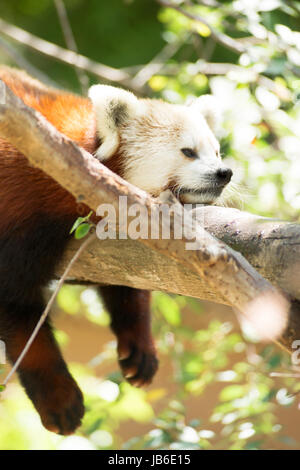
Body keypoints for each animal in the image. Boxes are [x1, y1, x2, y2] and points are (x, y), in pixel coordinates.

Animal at [0, 65, 232, 434]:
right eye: (188, 152)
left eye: (217, 152)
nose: (225, 173)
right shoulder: (19, 211)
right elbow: (18, 311)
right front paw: (59, 399)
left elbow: (128, 283)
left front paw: (139, 347)